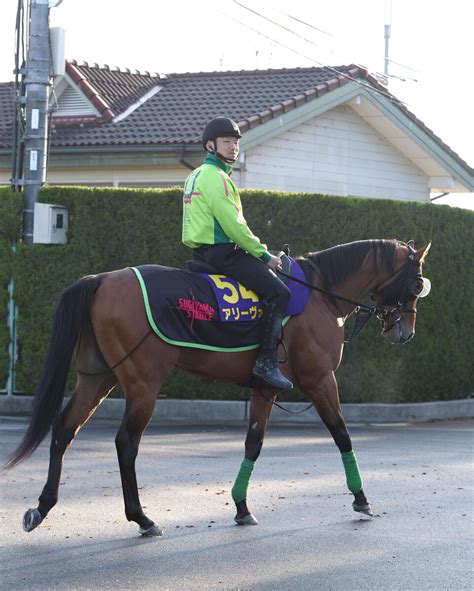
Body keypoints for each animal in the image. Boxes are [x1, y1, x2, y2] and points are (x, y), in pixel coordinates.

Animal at [6, 239, 430, 536]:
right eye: (416, 283)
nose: (406, 331)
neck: (321, 294)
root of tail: (103, 279)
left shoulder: (265, 389)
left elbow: (253, 444)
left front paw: (241, 507)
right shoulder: (320, 380)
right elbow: (342, 435)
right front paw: (361, 499)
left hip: (98, 378)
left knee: (64, 429)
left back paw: (43, 507)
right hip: (142, 385)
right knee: (126, 443)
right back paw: (142, 518)